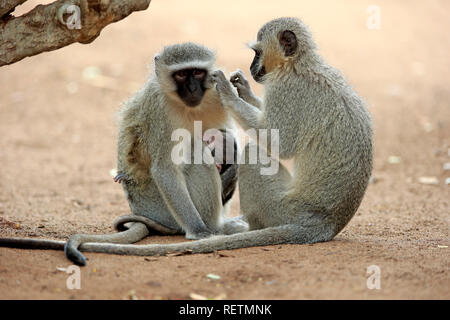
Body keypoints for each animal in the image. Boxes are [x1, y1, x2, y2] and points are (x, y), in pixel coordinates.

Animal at [0, 43, 246, 266]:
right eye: (181, 74)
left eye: (197, 72)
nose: (194, 89)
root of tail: (141, 211)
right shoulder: (158, 109)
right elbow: (164, 168)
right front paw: (198, 231)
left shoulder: (216, 95)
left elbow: (229, 139)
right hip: (162, 208)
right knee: (196, 152)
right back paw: (214, 227)